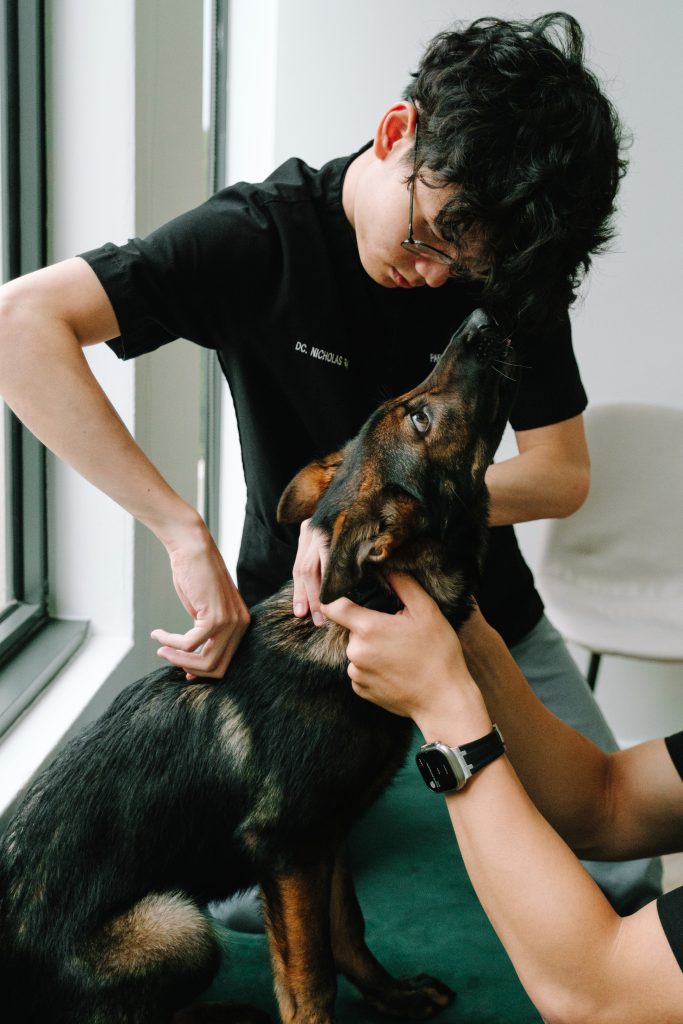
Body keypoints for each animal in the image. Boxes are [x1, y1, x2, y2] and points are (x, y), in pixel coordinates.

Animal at [0, 308, 514, 1024]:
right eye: (419, 418)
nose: (480, 317)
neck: (355, 616)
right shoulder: (288, 847)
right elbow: (311, 976)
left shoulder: (326, 837)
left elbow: (348, 931)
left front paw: (392, 996)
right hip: (179, 925)